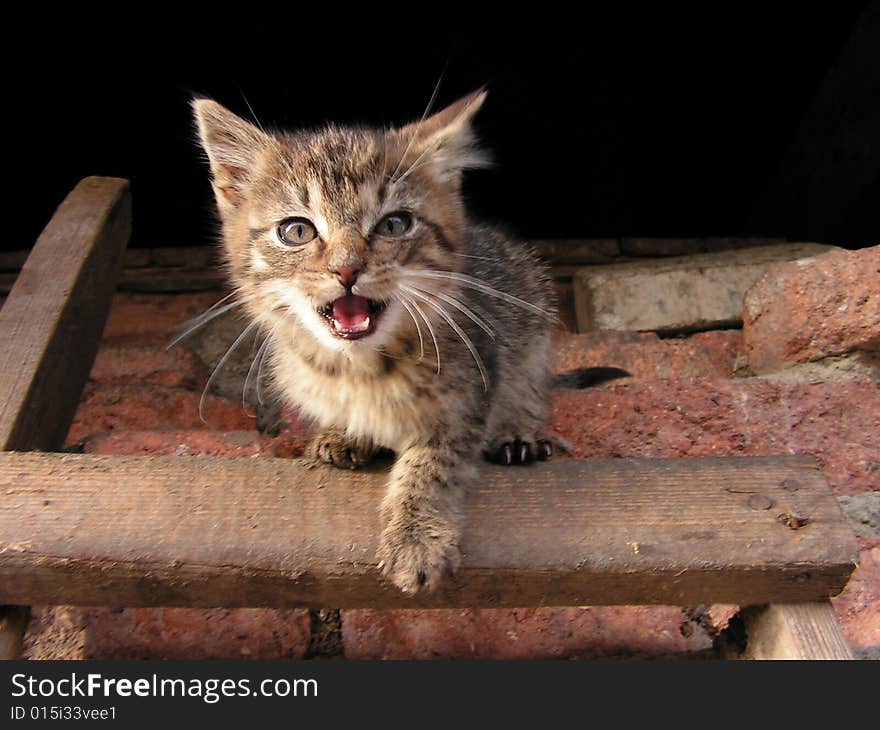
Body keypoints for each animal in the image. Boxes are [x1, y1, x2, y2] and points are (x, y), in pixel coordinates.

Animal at [193, 91, 576, 592]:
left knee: (530, 386)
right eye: (296, 230)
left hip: (532, 320)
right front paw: (343, 433)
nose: (347, 269)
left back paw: (519, 432)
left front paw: (416, 538)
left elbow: (431, 467)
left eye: (395, 224)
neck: (361, 367)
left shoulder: (469, 395)